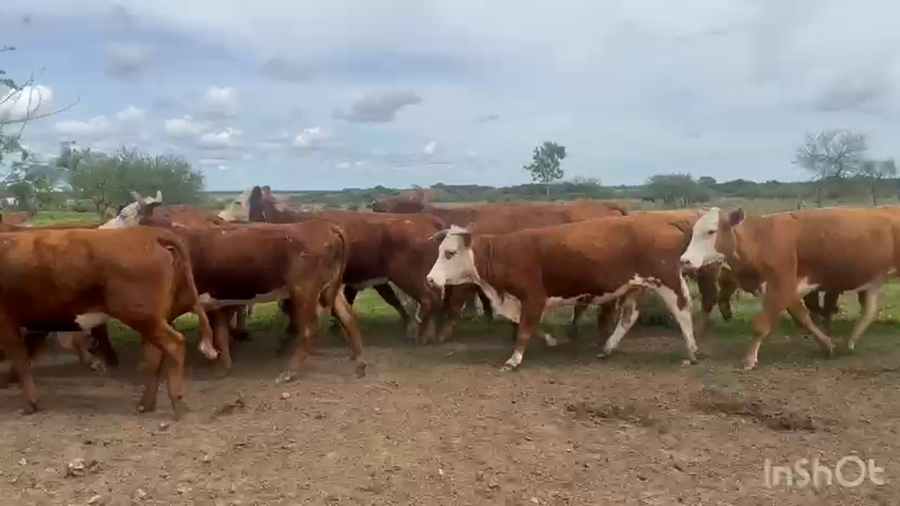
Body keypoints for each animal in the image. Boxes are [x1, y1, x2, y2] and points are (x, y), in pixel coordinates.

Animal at [0, 227, 216, 417]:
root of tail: (149, 232)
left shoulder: (6, 323)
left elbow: (21, 359)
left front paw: (29, 404)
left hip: (144, 317)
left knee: (174, 344)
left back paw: (176, 403)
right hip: (154, 318)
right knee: (154, 354)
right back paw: (146, 404)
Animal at [117, 198, 367, 381]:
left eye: (124, 215)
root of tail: (326, 227)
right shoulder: (216, 301)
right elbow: (220, 333)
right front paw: (223, 365)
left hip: (304, 290)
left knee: (308, 328)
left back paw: (290, 371)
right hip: (330, 288)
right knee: (347, 317)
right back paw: (360, 363)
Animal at [218, 186, 447, 343]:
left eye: (237, 203)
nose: (219, 217)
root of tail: (426, 219)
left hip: (407, 275)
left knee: (428, 299)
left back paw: (424, 335)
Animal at [425, 214, 703, 371]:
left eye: (449, 252)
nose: (430, 280)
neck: (506, 253)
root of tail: (665, 221)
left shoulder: (533, 296)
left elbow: (524, 328)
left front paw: (514, 359)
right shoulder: (522, 301)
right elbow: (526, 323)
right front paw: (550, 340)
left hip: (667, 280)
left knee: (682, 309)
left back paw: (691, 352)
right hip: (636, 286)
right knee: (629, 316)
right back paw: (608, 348)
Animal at [679, 207, 900, 369]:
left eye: (711, 231)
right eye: (694, 231)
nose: (685, 260)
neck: (761, 239)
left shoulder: (780, 286)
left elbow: (762, 326)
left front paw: (749, 359)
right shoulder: (788, 290)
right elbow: (804, 318)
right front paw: (827, 345)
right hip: (873, 281)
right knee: (869, 311)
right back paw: (851, 342)